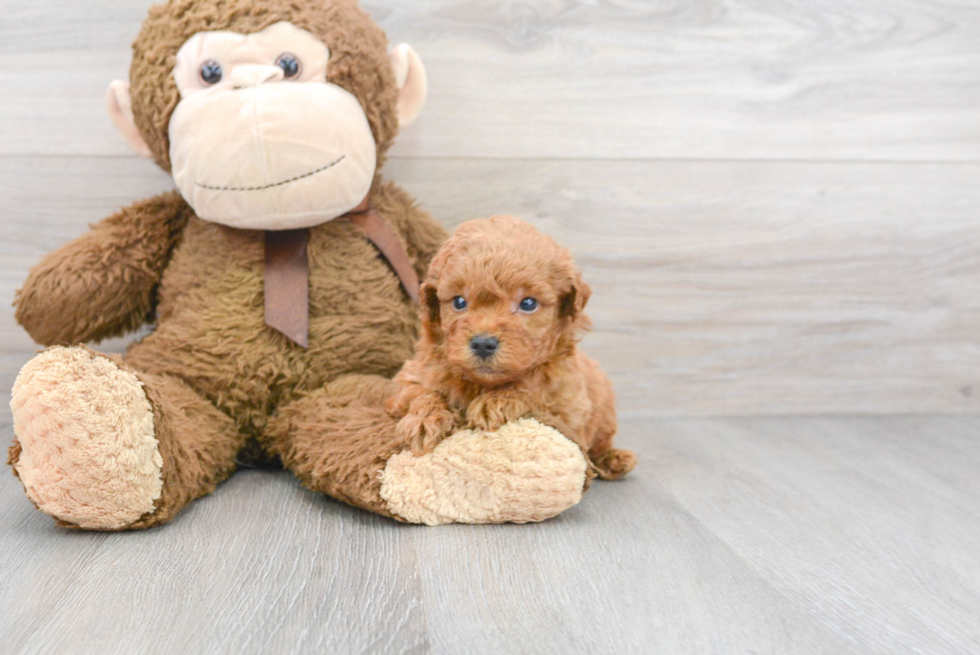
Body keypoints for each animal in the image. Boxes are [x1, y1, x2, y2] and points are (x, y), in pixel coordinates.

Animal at [386, 215, 640, 482]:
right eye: (459, 301)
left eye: (528, 303)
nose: (483, 343)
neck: (484, 384)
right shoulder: (408, 379)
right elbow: (422, 392)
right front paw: (424, 420)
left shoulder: (569, 414)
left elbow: (532, 395)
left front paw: (497, 401)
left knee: (602, 442)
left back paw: (614, 459)